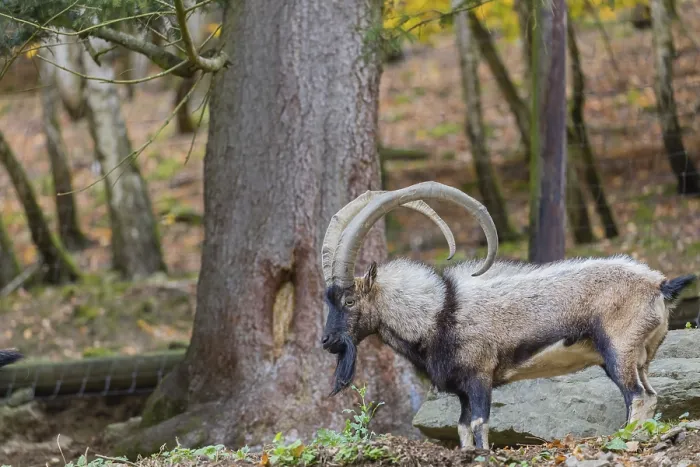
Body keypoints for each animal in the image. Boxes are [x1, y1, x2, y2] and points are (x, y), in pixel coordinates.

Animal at [320, 181, 697, 450]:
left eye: (349, 300)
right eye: (329, 300)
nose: (327, 341)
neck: (440, 311)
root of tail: (658, 284)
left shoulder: (480, 377)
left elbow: (480, 425)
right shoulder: (462, 390)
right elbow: (462, 428)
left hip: (618, 352)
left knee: (638, 396)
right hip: (639, 356)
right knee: (651, 395)